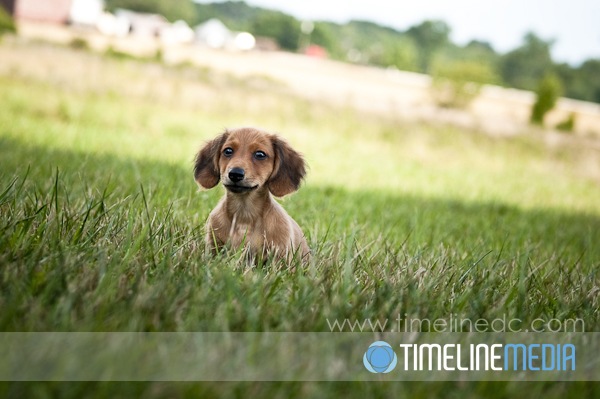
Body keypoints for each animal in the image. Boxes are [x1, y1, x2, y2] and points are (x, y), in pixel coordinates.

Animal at [196, 128, 312, 264]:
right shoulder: (214, 248)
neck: (244, 216)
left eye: (260, 154)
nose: (235, 174)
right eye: (228, 151)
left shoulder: (280, 256)